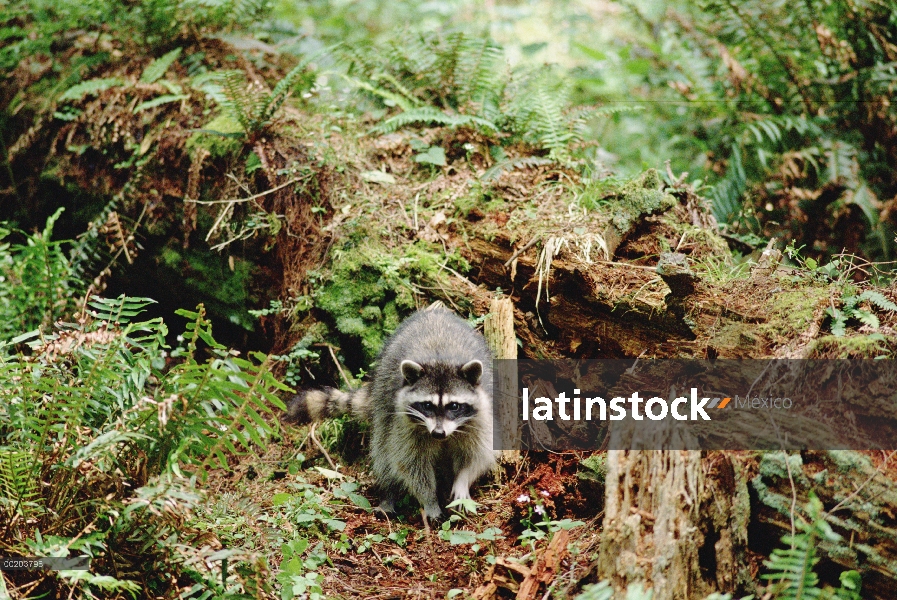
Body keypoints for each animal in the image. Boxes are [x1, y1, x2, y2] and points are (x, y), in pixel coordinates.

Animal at [288, 308, 494, 516]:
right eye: (427, 405)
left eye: (454, 406)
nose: (438, 433)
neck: (440, 360)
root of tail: (434, 312)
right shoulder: (404, 424)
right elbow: (409, 464)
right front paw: (429, 500)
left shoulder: (480, 418)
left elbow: (477, 456)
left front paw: (462, 480)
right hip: (383, 397)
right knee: (383, 451)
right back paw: (388, 494)